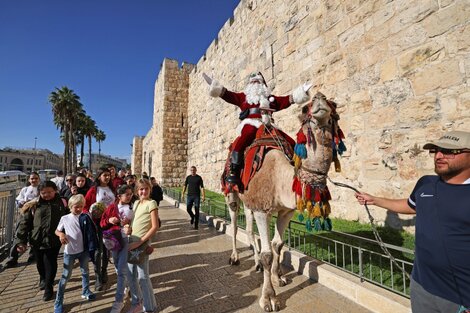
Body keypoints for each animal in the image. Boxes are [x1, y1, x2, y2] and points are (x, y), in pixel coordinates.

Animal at [224, 91, 342, 310]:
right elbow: (267, 253)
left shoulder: (286, 210)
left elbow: (278, 244)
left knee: (250, 229)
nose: (320, 99)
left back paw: (256, 264)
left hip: (249, 202)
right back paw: (235, 257)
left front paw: (278, 277)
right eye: (305, 108)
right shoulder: (262, 210)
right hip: (233, 194)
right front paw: (269, 298)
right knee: (235, 221)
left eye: (333, 104)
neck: (280, 176)